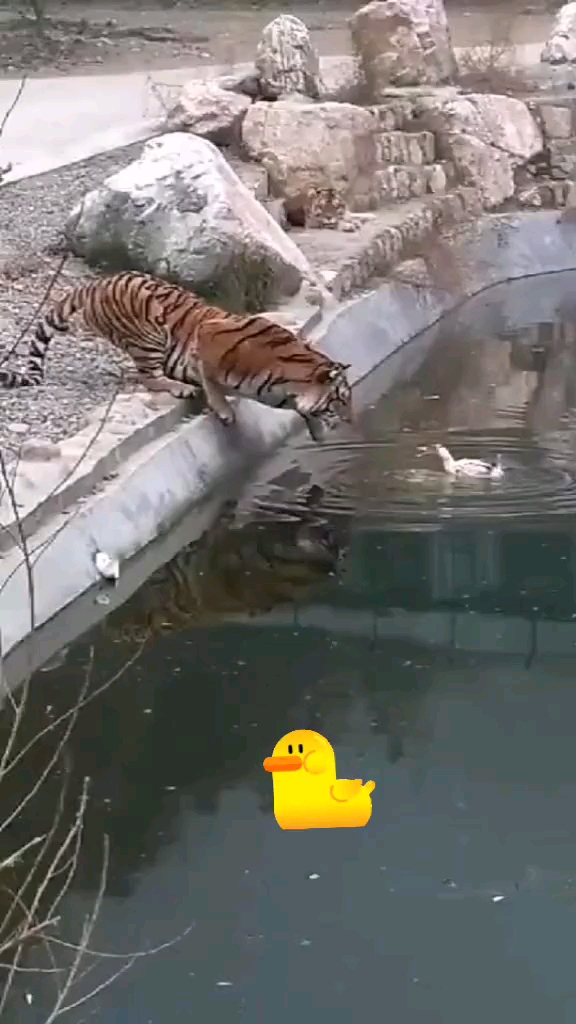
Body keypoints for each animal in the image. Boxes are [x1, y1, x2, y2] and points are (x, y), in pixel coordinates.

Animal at [0, 271, 352, 443]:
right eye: (342, 400)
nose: (351, 423)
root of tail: (93, 284)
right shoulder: (208, 337)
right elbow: (210, 380)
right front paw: (224, 411)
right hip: (149, 331)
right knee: (148, 376)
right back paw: (179, 387)